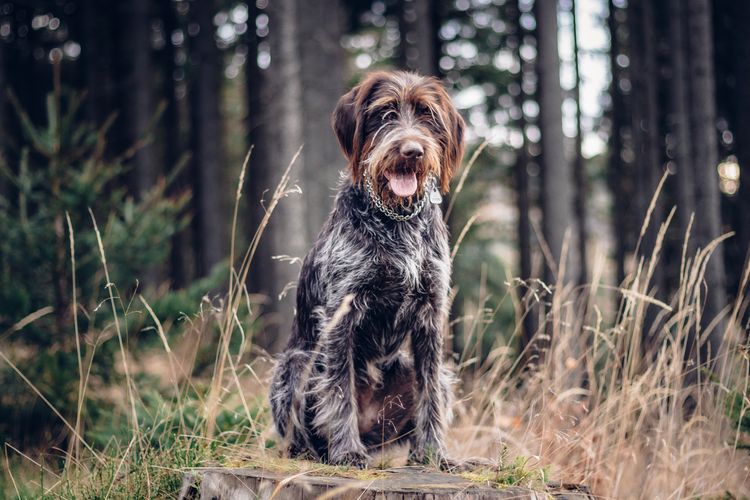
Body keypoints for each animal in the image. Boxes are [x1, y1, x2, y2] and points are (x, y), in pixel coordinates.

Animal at [270, 70, 468, 468]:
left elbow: (429, 394)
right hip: (295, 364)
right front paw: (346, 451)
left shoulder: (430, 313)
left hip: (422, 370)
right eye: (385, 113)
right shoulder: (340, 313)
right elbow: (338, 389)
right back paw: (315, 452)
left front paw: (434, 453)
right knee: (301, 430)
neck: (397, 220)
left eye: (427, 115)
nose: (412, 151)